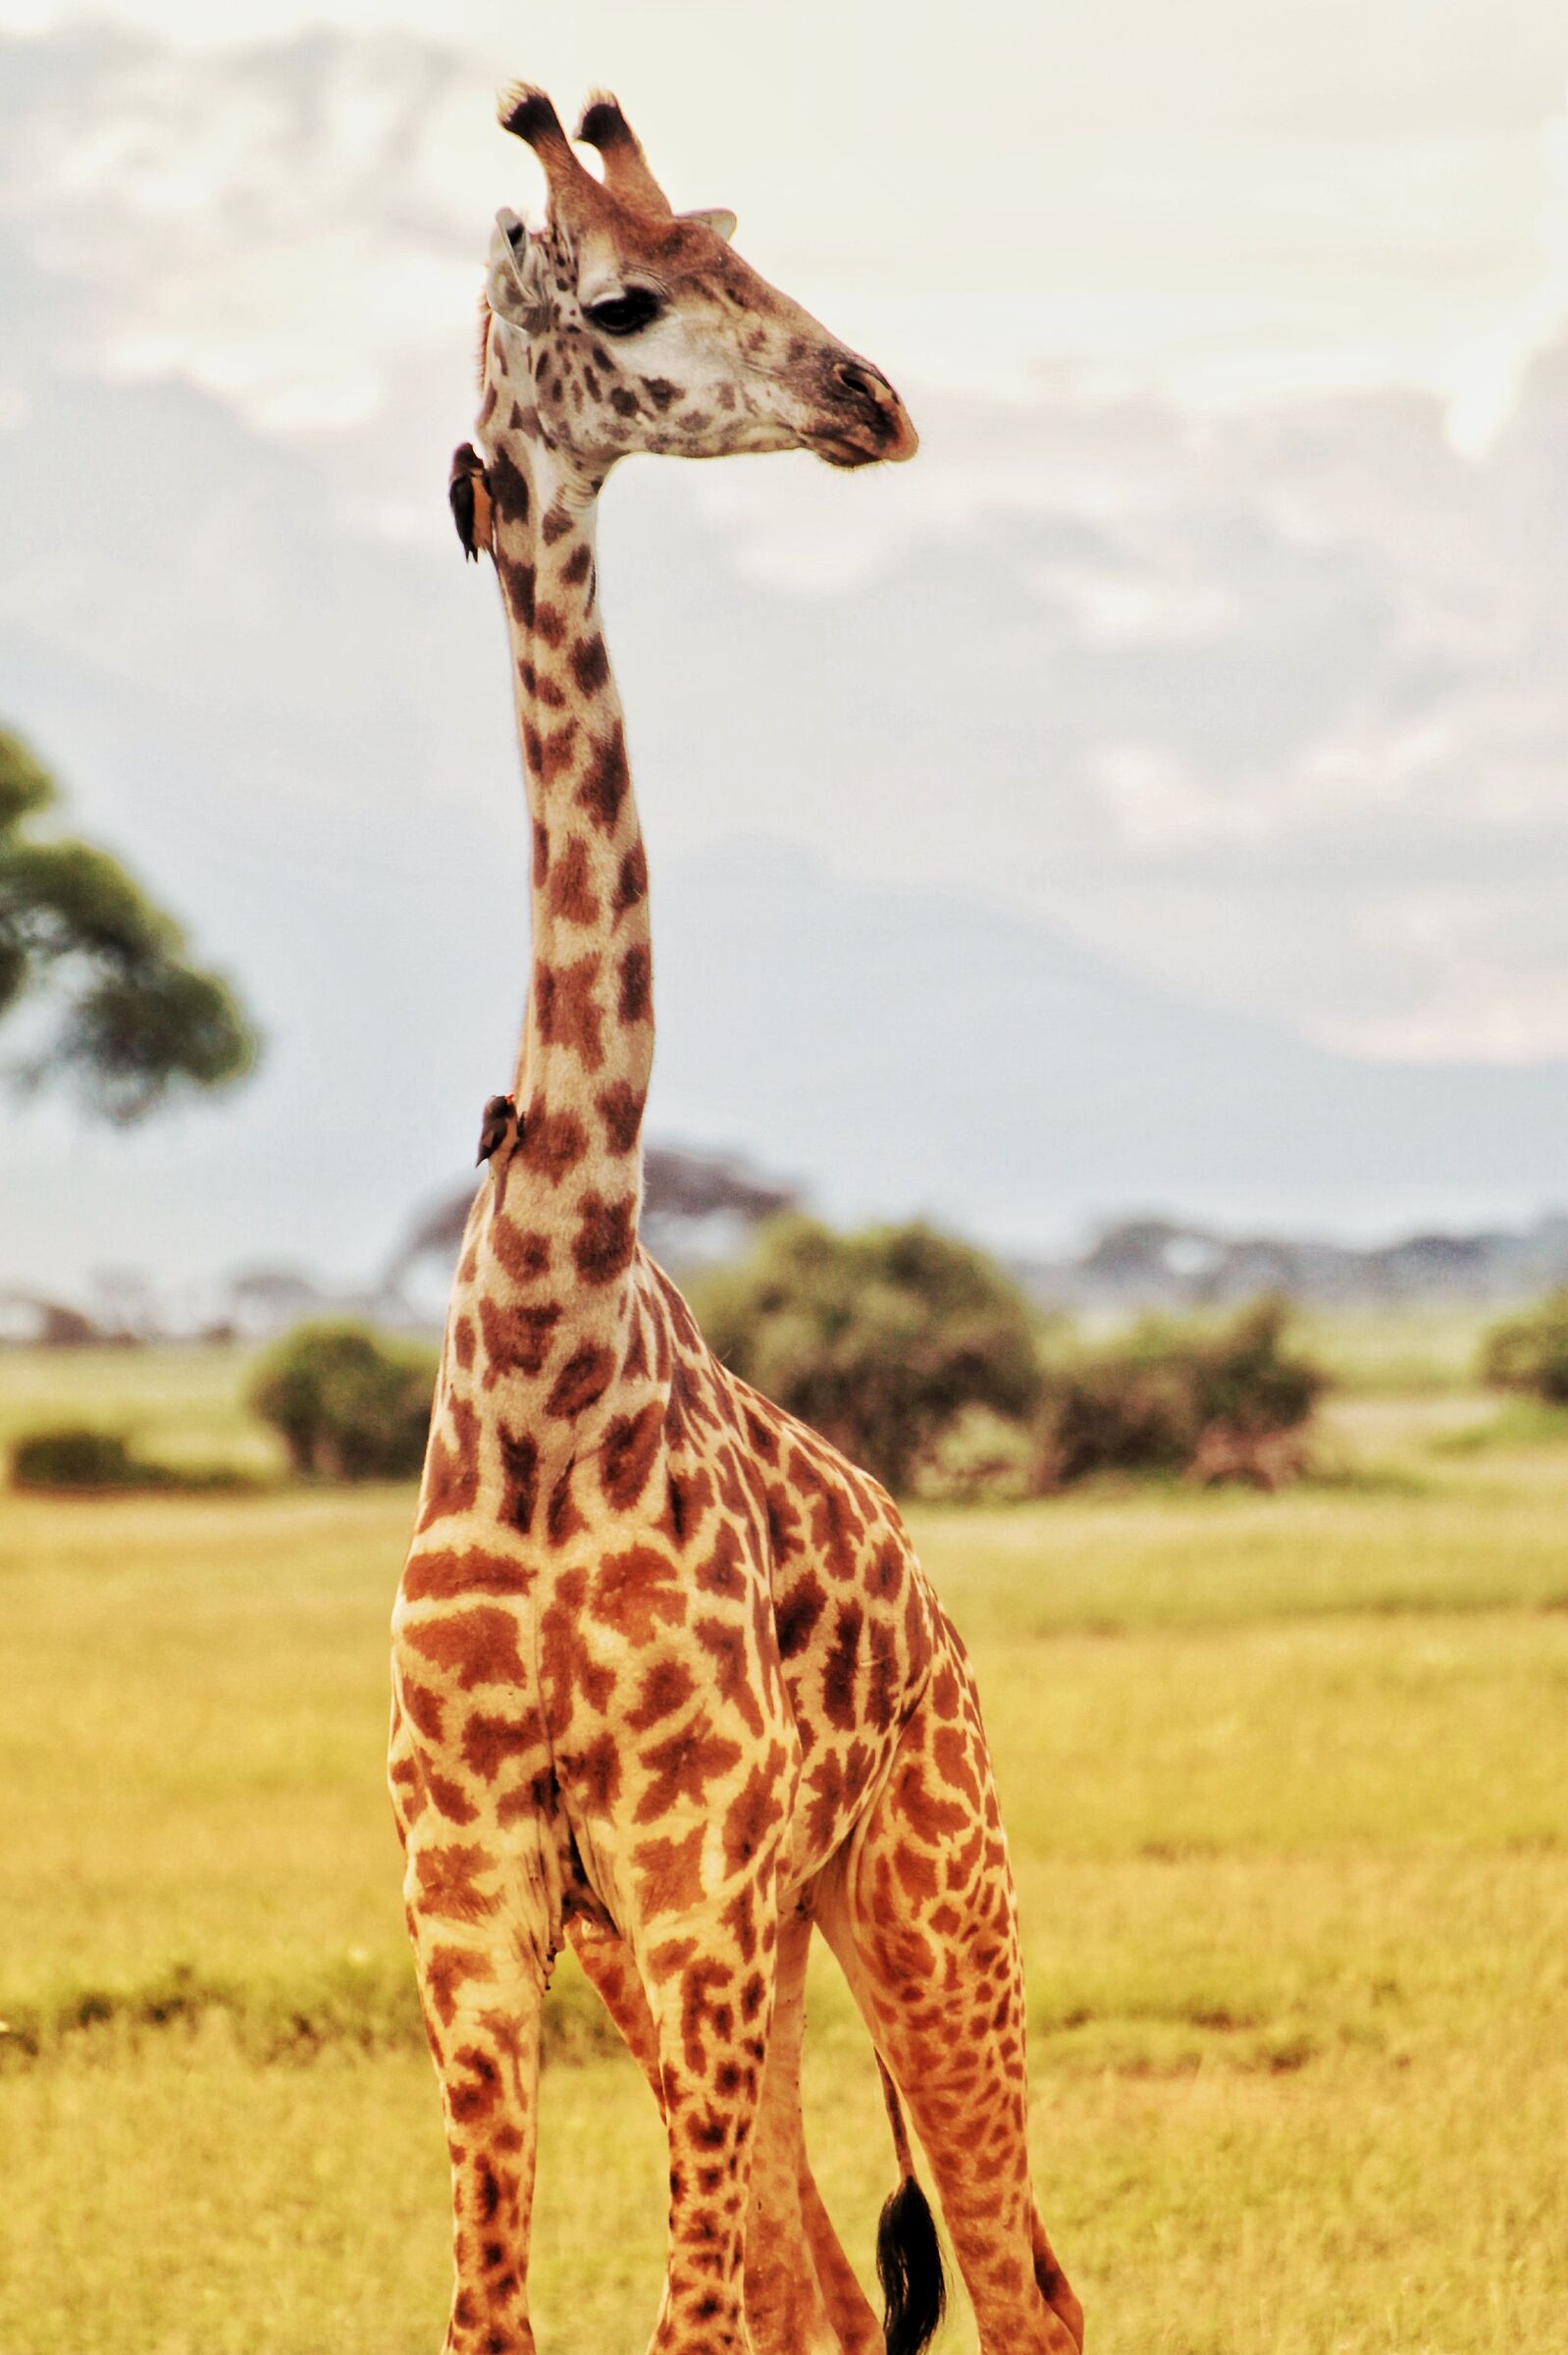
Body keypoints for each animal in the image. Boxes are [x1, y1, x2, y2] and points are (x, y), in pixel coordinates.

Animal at [389, 84, 1083, 2355]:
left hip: (924, 1886)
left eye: (737, 244)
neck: (538, 1335)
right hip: (737, 1953)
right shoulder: (482, 1900)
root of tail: (933, 1600)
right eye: (625, 295)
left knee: (1018, 2286)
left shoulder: (690, 1871)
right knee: (842, 2298)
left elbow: (691, 2319)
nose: (870, 397)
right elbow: (511, 2319)